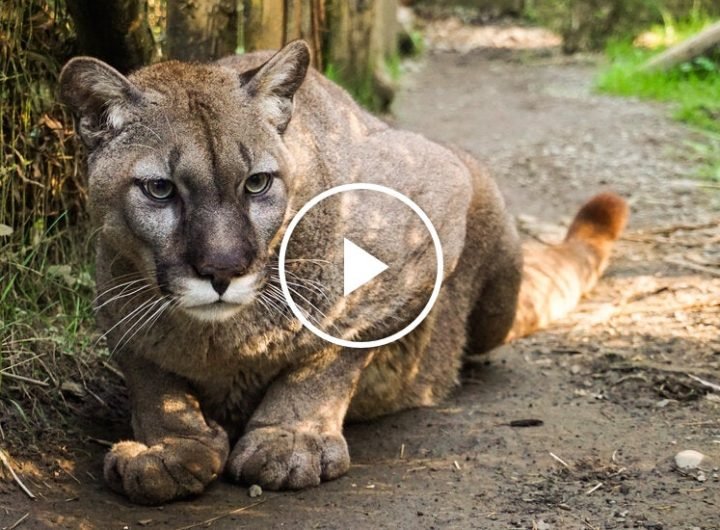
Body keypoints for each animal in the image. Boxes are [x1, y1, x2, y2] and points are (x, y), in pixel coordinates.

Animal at [59, 39, 628, 502]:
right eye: (160, 189)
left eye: (257, 183)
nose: (224, 269)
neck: (220, 340)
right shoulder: (114, 302)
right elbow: (149, 373)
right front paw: (170, 444)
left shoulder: (435, 198)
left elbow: (339, 343)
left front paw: (293, 434)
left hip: (489, 279)